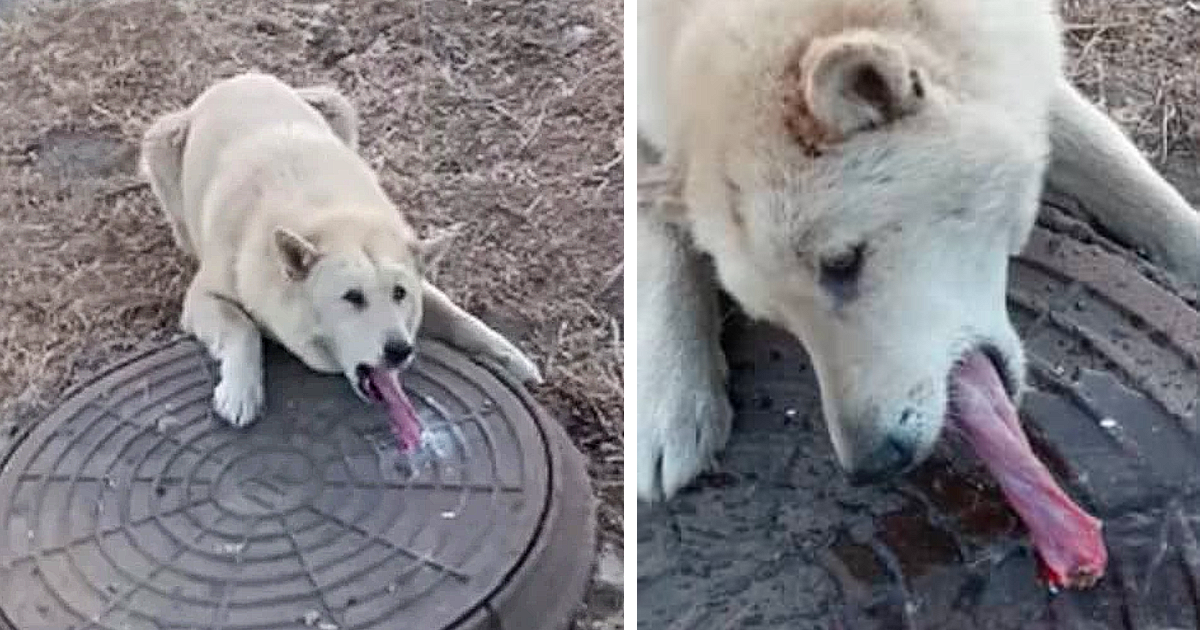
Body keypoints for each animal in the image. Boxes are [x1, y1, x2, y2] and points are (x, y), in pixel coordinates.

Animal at [137, 71, 544, 429]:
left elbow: (458, 315)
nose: (400, 351)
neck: (327, 216)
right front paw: (240, 392)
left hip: (338, 105)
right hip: (160, 142)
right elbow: (243, 328)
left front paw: (511, 358)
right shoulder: (202, 297)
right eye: (352, 297)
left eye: (400, 294)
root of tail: (237, 79)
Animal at [638, 0, 1200, 501]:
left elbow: (1128, 178)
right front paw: (673, 397)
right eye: (775, 318)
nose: (871, 466)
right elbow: (659, 234)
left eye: (841, 263)